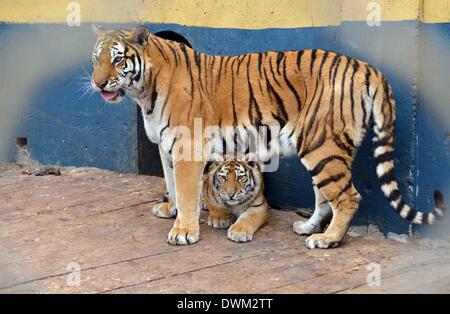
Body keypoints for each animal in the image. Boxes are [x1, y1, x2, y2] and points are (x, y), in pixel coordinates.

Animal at [91, 25, 446, 249]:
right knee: (324, 197)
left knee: (347, 197)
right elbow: (172, 185)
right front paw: (172, 211)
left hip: (323, 148)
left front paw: (183, 232)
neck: (143, 92)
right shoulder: (166, 148)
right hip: (319, 149)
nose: (98, 83)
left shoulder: (187, 148)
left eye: (118, 59)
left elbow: (188, 191)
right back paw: (308, 228)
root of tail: (366, 67)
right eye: (97, 58)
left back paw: (327, 240)